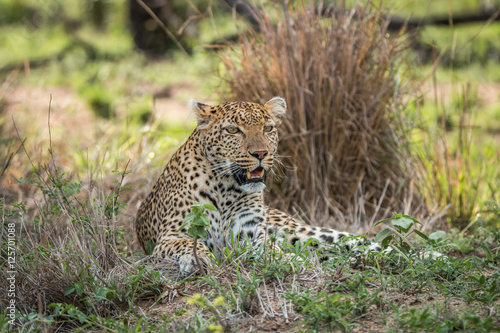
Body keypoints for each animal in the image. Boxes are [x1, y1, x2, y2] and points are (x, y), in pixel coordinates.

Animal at [135, 97, 384, 274]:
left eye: (267, 128)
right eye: (233, 130)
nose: (261, 153)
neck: (224, 188)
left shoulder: (250, 231)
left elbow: (269, 248)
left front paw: (288, 259)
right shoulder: (171, 235)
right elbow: (188, 244)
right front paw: (199, 261)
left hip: (300, 231)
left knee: (355, 242)